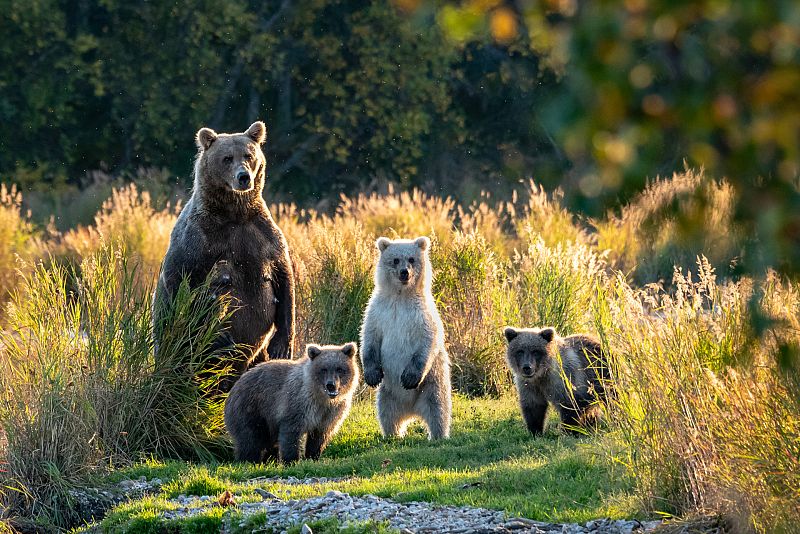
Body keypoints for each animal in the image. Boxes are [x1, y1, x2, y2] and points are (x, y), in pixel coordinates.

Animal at [154, 121, 295, 386]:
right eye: (227, 158)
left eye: (248, 155)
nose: (244, 177)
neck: (234, 213)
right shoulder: (199, 240)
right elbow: (184, 282)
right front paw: (219, 337)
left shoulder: (263, 235)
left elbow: (285, 279)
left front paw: (282, 345)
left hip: (257, 357)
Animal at [224, 342, 359, 463]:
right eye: (323, 369)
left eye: (339, 369)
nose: (331, 385)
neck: (321, 398)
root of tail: (233, 389)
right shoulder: (298, 403)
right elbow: (291, 432)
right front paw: (292, 460)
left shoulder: (330, 413)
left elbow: (319, 436)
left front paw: (313, 456)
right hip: (251, 408)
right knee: (250, 439)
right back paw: (249, 461)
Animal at [360, 236, 452, 440]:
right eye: (395, 260)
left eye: (411, 259)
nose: (404, 272)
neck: (401, 296)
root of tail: (412, 411)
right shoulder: (378, 312)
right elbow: (369, 338)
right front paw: (372, 375)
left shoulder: (422, 315)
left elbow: (427, 341)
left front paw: (408, 378)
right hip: (388, 393)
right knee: (387, 413)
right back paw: (393, 434)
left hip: (432, 383)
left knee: (438, 409)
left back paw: (438, 435)